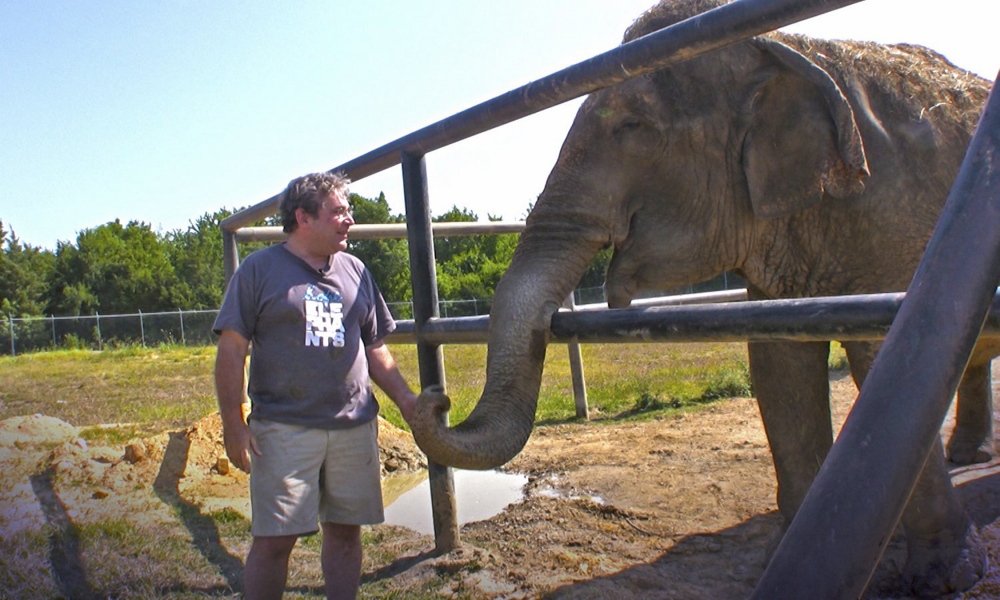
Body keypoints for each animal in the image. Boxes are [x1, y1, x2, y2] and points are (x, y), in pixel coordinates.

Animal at [410, 1, 996, 596]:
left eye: (632, 126)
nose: (434, 397)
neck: (791, 46)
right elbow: (779, 371)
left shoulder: (896, 218)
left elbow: (895, 361)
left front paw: (946, 578)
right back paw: (968, 454)